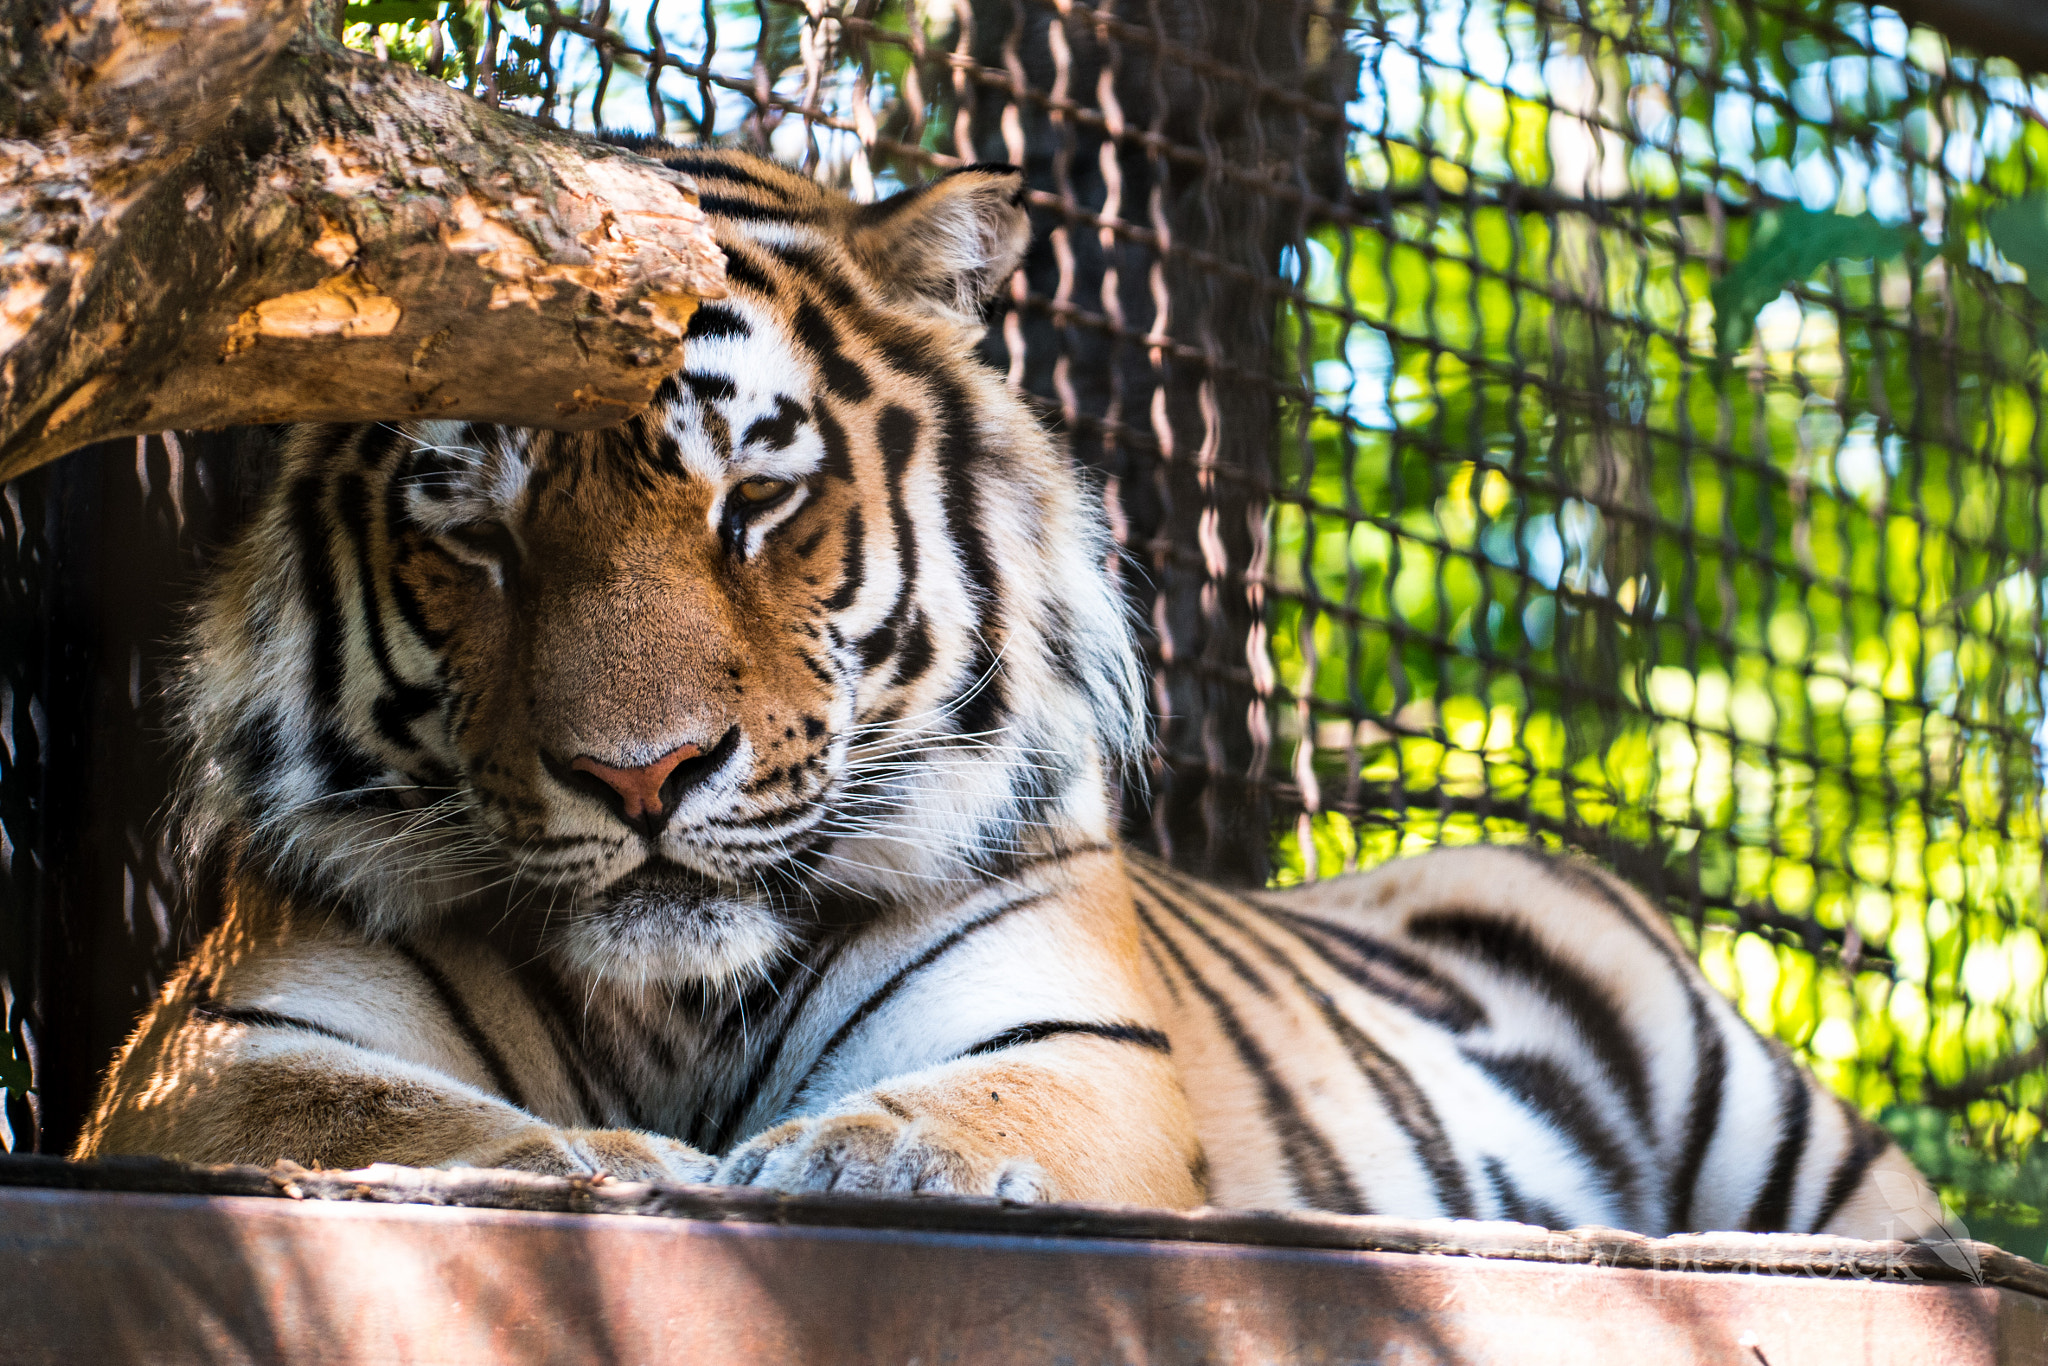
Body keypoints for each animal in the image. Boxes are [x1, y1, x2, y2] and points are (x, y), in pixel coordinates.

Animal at [75, 147, 1933, 1236]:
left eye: (757, 503)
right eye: (475, 532)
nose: (642, 775)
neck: (672, 1007)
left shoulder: (1064, 1042)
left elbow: (944, 1123)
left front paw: (826, 1160)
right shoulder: (220, 1049)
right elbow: (399, 1122)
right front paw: (636, 1166)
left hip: (1735, 1080)